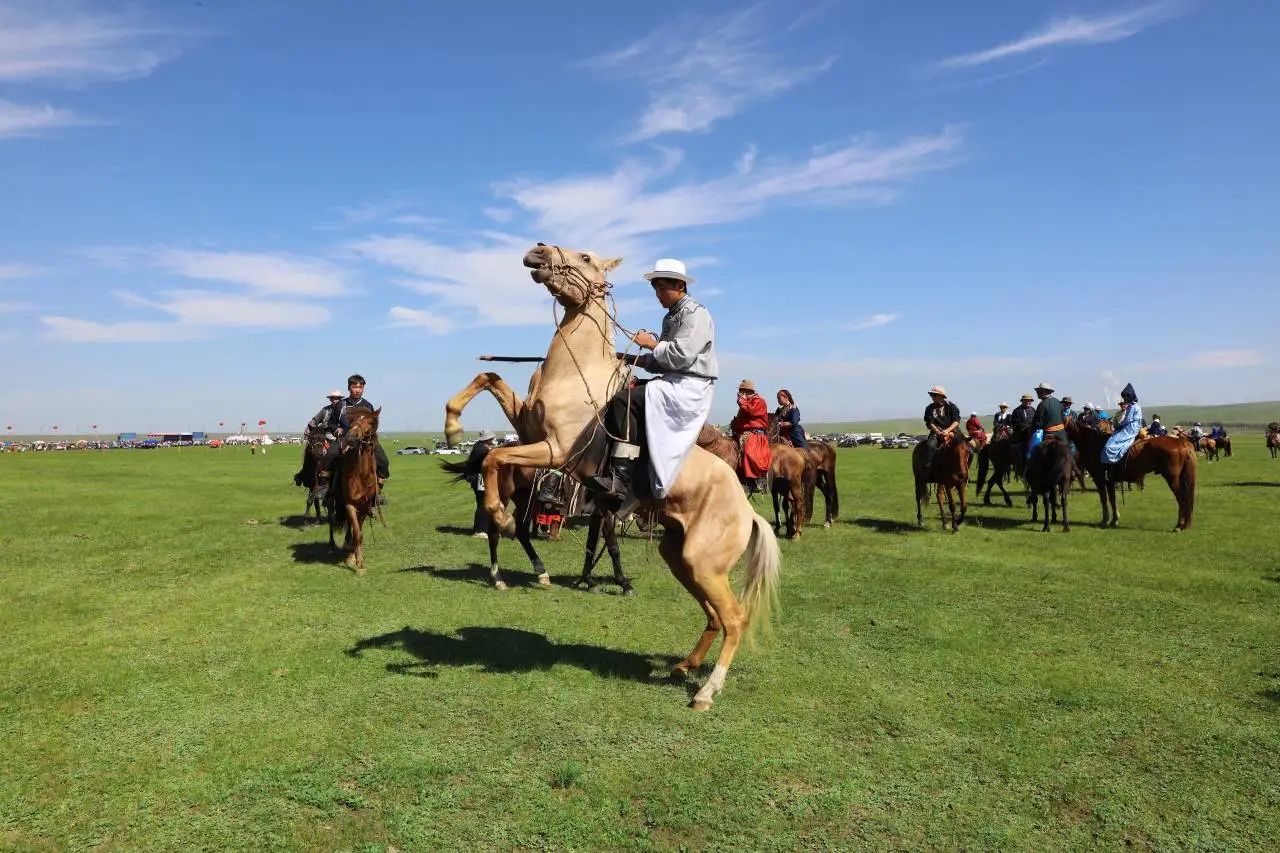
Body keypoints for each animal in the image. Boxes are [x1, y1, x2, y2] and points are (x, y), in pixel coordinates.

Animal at [327, 404, 376, 571]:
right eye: (352, 420)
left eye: (370, 422)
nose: (352, 437)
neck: (360, 474)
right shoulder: (349, 504)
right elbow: (356, 533)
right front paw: (359, 563)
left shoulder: (365, 506)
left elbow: (358, 532)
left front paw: (354, 558)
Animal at [440, 242, 778, 706]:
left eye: (585, 258)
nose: (537, 251)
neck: (573, 372)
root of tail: (748, 512)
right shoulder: (527, 430)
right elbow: (488, 377)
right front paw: (453, 427)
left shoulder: (554, 449)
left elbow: (494, 461)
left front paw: (500, 514)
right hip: (681, 559)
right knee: (714, 616)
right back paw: (685, 666)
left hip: (704, 564)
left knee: (735, 618)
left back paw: (707, 692)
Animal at [1064, 414, 1192, 527]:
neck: (1094, 443)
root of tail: (1180, 442)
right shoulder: (1109, 480)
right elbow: (1112, 499)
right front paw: (1114, 520)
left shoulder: (1099, 479)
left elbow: (1104, 499)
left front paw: (1105, 521)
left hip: (1172, 478)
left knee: (1182, 498)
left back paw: (1179, 526)